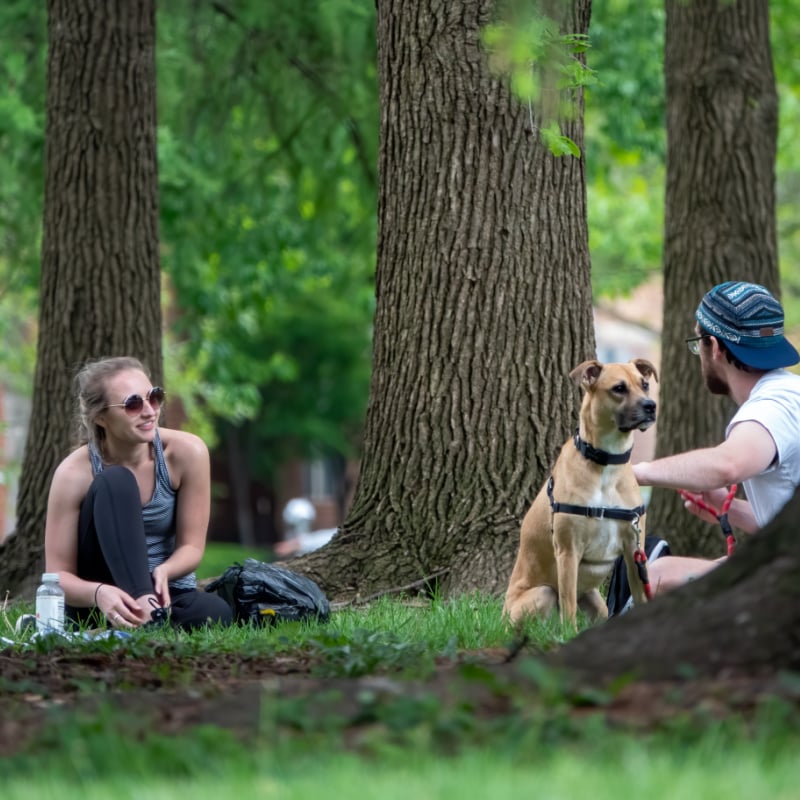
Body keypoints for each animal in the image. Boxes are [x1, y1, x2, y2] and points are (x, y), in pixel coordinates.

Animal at [506, 360, 656, 628]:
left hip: (597, 603)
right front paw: (569, 633)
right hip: (541, 593)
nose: (651, 406)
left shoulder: (633, 549)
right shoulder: (568, 550)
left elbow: (641, 596)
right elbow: (568, 606)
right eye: (619, 388)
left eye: (645, 384)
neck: (606, 463)